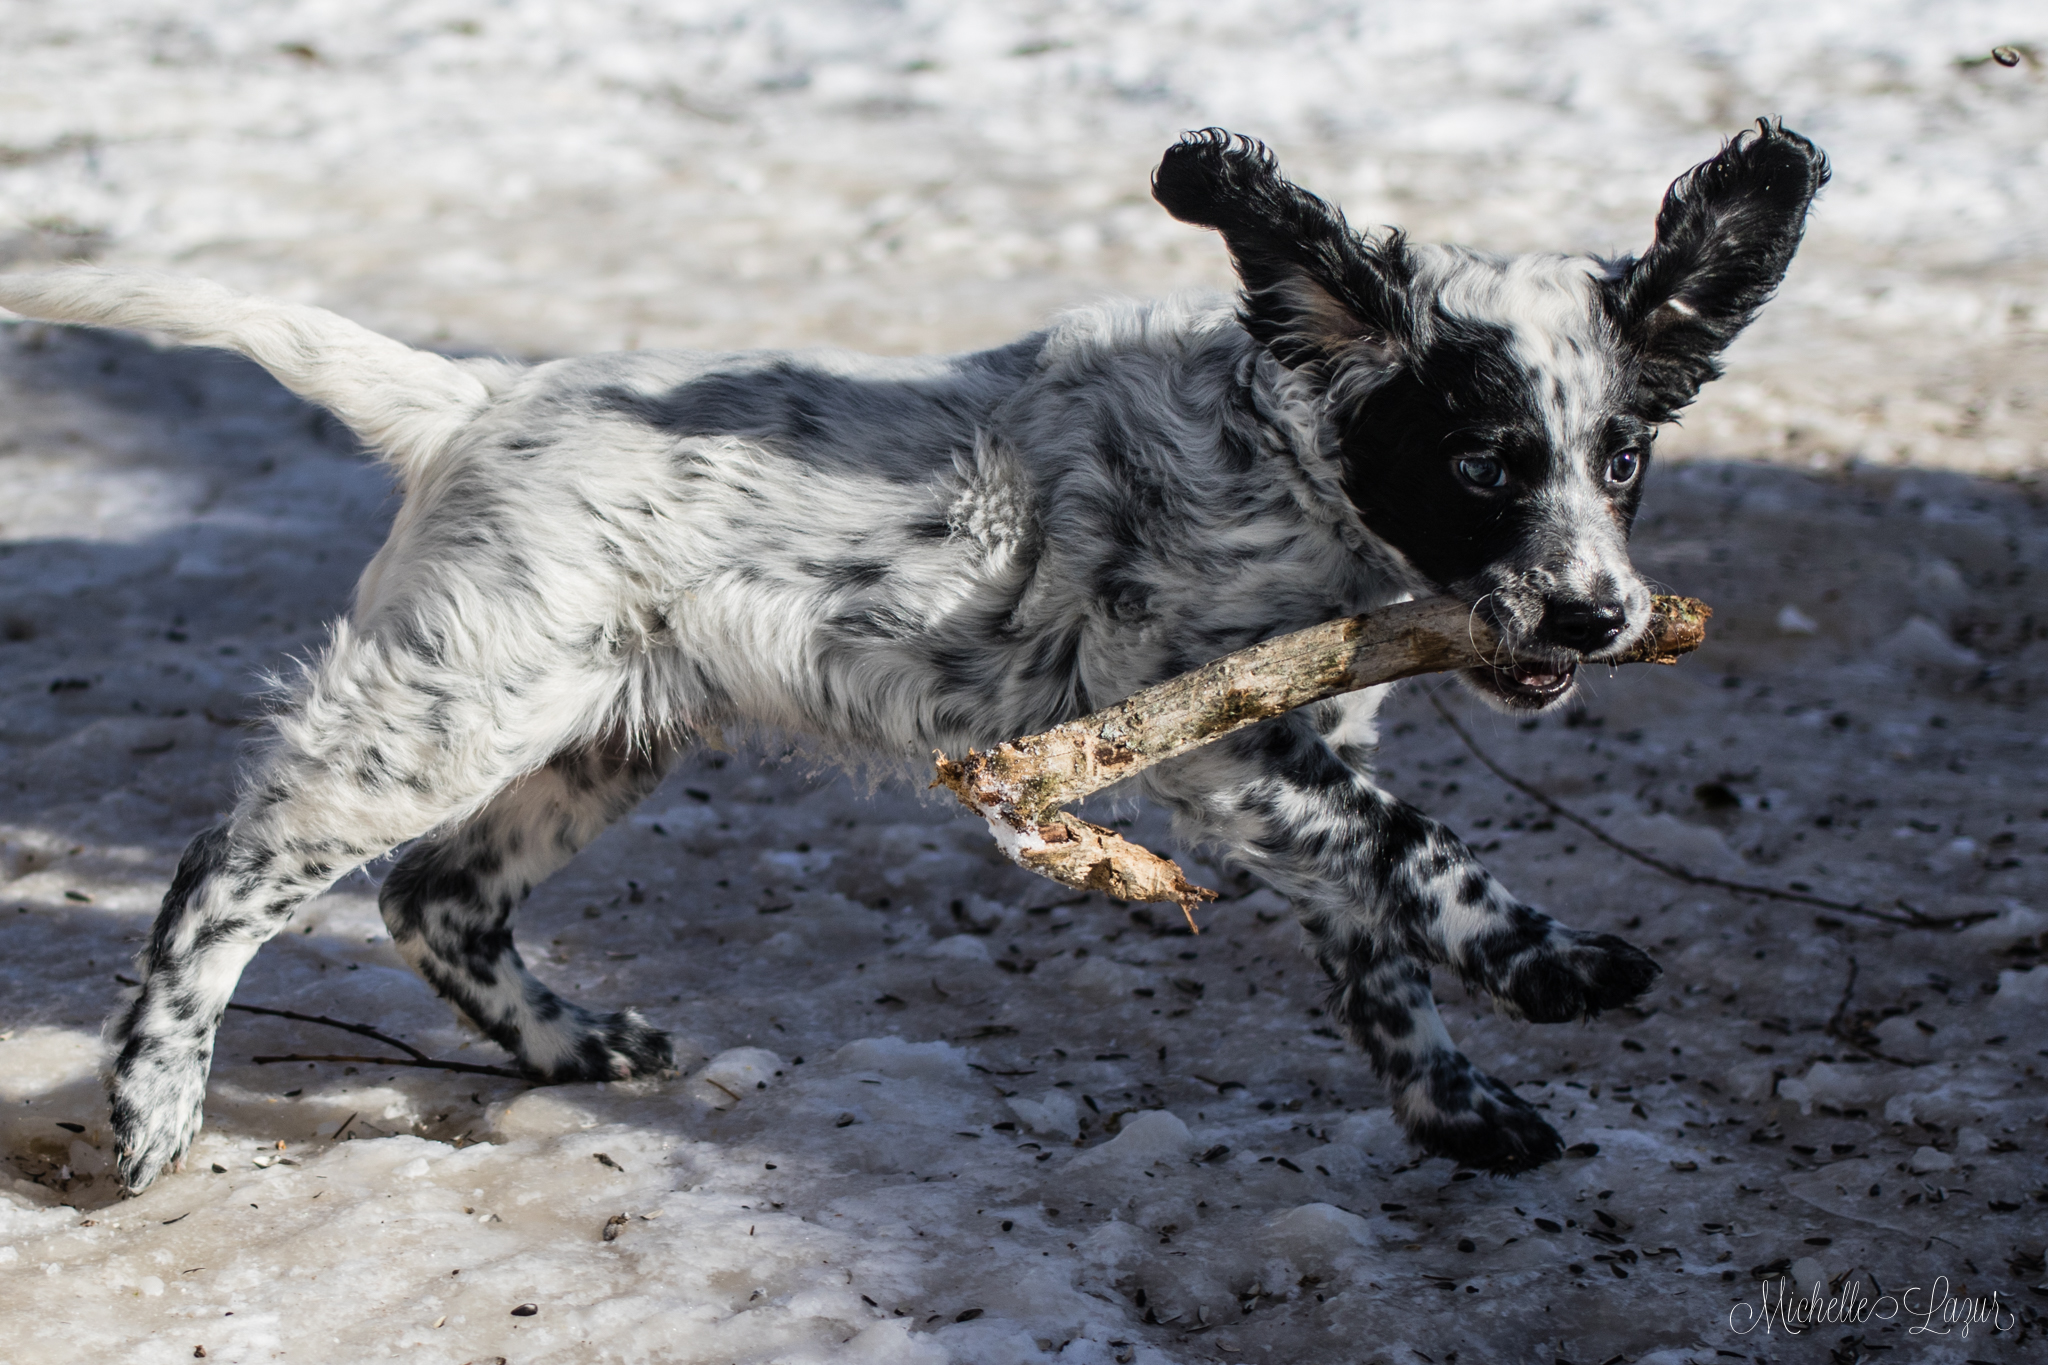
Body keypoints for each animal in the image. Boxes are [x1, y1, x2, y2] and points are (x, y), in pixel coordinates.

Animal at [0, 117, 1826, 1186]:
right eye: (1480, 466)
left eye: (1621, 459)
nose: (1594, 619)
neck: (1285, 459)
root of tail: (472, 400)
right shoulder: (1225, 736)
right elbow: (1420, 856)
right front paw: (1555, 963)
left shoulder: (1298, 767)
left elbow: (1377, 940)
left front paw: (1460, 1111)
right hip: (451, 711)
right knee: (228, 868)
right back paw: (153, 1107)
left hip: (603, 730)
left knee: (433, 897)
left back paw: (578, 1047)